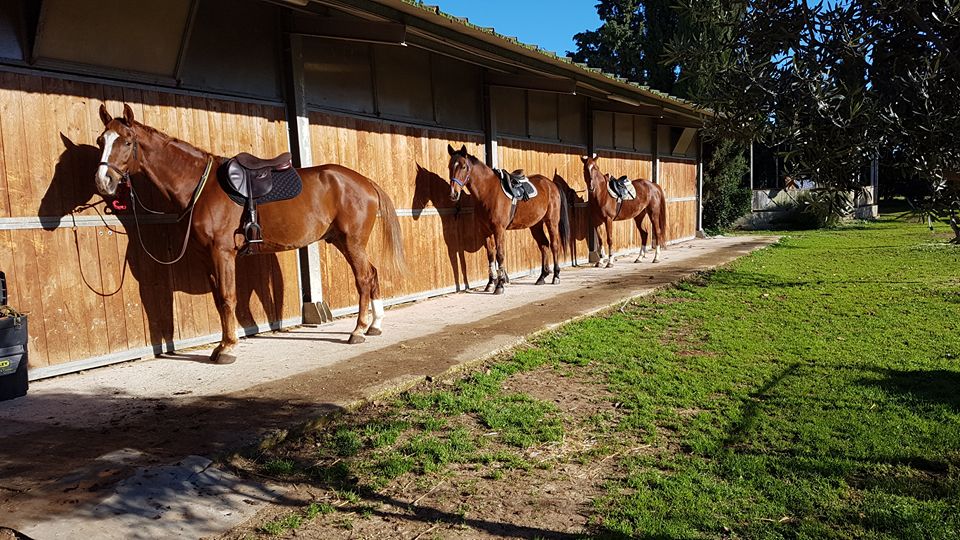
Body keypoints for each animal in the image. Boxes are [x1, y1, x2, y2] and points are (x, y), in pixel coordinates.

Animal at [94, 104, 404, 364]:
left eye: (127, 141)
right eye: (101, 141)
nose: (103, 181)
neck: (201, 186)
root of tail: (364, 182)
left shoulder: (222, 253)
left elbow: (228, 298)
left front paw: (228, 348)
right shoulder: (207, 258)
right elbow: (219, 300)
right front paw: (222, 345)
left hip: (352, 241)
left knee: (363, 278)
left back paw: (358, 331)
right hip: (343, 241)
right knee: (372, 274)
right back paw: (375, 325)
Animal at [447, 144, 570, 294]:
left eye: (464, 166)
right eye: (449, 166)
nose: (454, 194)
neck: (488, 191)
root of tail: (552, 184)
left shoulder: (499, 229)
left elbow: (500, 255)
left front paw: (500, 285)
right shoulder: (485, 231)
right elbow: (490, 255)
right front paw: (490, 284)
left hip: (551, 222)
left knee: (554, 245)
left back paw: (556, 276)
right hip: (536, 225)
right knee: (544, 245)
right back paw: (542, 276)